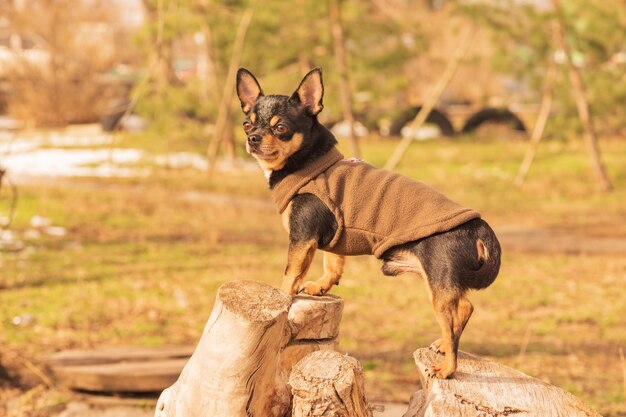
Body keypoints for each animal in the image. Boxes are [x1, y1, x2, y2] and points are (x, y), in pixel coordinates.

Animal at [236, 67, 500, 376]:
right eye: (246, 124)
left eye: (280, 128)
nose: (253, 138)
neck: (309, 163)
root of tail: (480, 227)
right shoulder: (333, 235)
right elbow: (333, 265)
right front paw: (320, 287)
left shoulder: (302, 238)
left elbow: (290, 276)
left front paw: (283, 298)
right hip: (439, 280)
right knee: (466, 308)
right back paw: (444, 346)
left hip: (439, 284)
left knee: (458, 313)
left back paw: (447, 367)